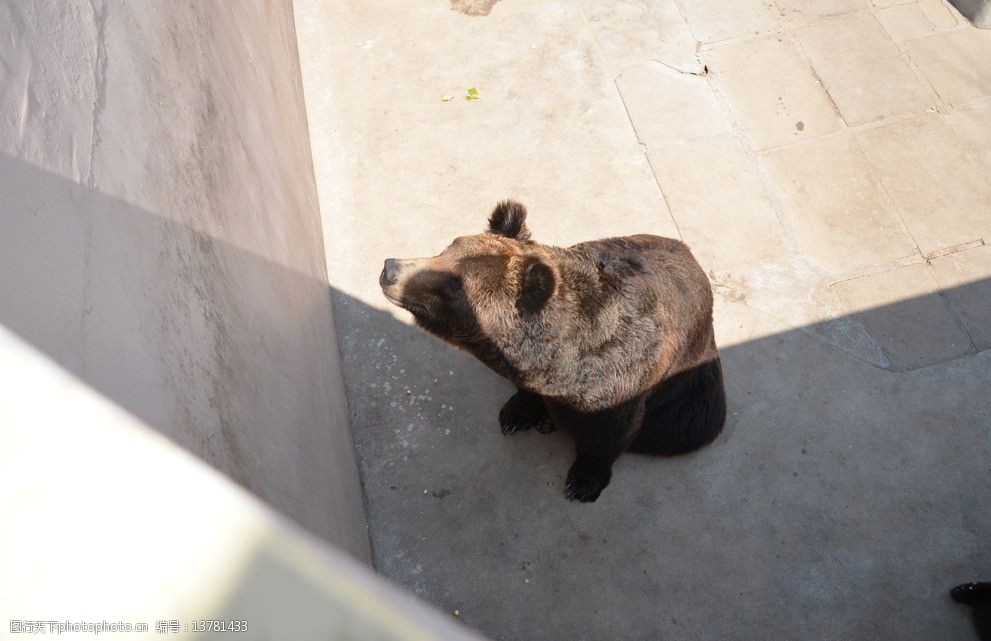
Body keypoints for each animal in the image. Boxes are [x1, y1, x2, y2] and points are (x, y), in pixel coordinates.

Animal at [376, 202, 724, 502]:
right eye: (445, 249)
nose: (389, 268)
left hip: (692, 391)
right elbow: (525, 394)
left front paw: (583, 482)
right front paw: (516, 414)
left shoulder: (624, 377)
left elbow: (610, 434)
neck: (565, 367)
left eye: (454, 283)